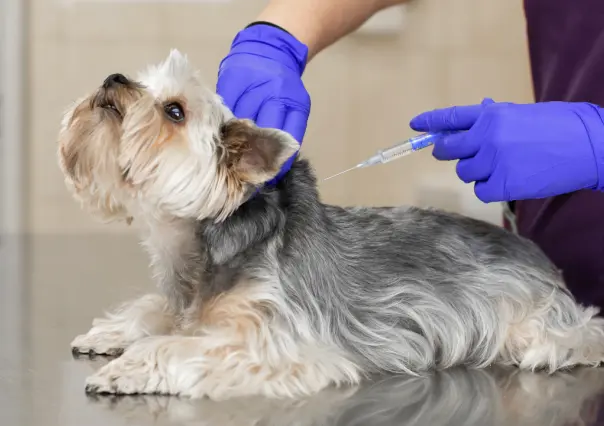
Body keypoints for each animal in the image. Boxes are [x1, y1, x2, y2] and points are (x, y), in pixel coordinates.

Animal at [57, 50, 604, 400]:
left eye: (174, 110)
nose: (112, 78)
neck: (201, 245)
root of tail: (531, 252)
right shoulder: (184, 298)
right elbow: (156, 311)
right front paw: (113, 332)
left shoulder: (274, 341)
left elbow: (176, 345)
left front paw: (128, 365)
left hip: (534, 317)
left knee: (584, 331)